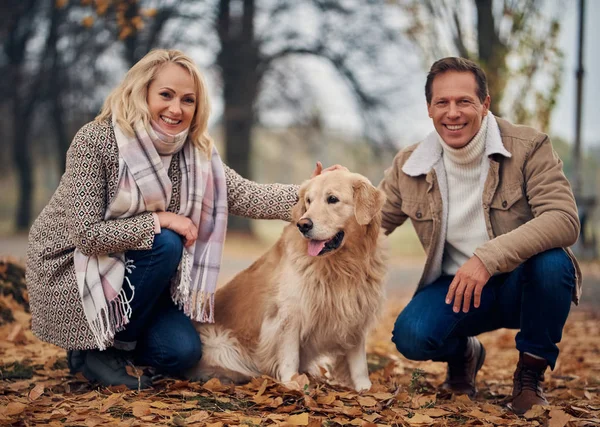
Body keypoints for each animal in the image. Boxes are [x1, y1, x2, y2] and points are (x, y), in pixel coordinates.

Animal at [188, 170, 390, 392]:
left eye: (332, 199)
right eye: (309, 201)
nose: (303, 225)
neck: (342, 265)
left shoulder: (356, 312)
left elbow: (359, 361)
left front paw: (366, 388)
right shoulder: (290, 312)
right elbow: (289, 355)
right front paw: (293, 382)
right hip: (219, 341)